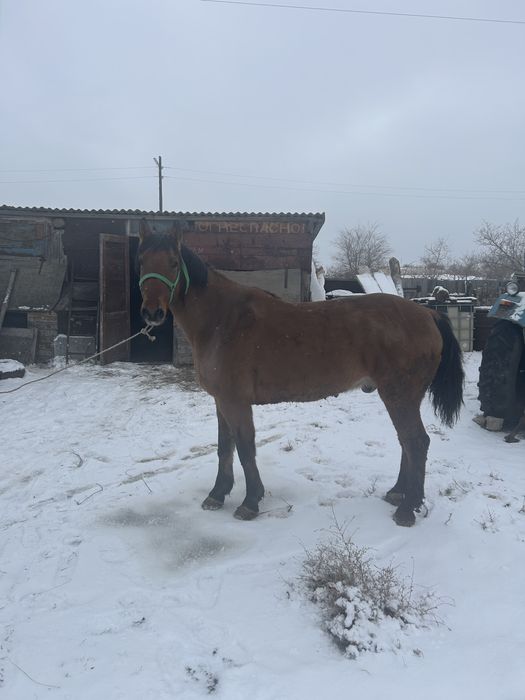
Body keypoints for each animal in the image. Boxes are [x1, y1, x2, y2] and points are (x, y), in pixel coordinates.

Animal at [137, 221, 464, 527]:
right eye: (141, 261)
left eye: (173, 263)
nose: (152, 313)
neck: (222, 320)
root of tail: (428, 313)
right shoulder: (221, 401)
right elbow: (224, 448)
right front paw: (218, 494)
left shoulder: (236, 402)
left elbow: (245, 449)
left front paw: (250, 502)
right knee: (407, 443)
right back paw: (398, 493)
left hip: (399, 396)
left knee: (416, 442)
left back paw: (407, 509)